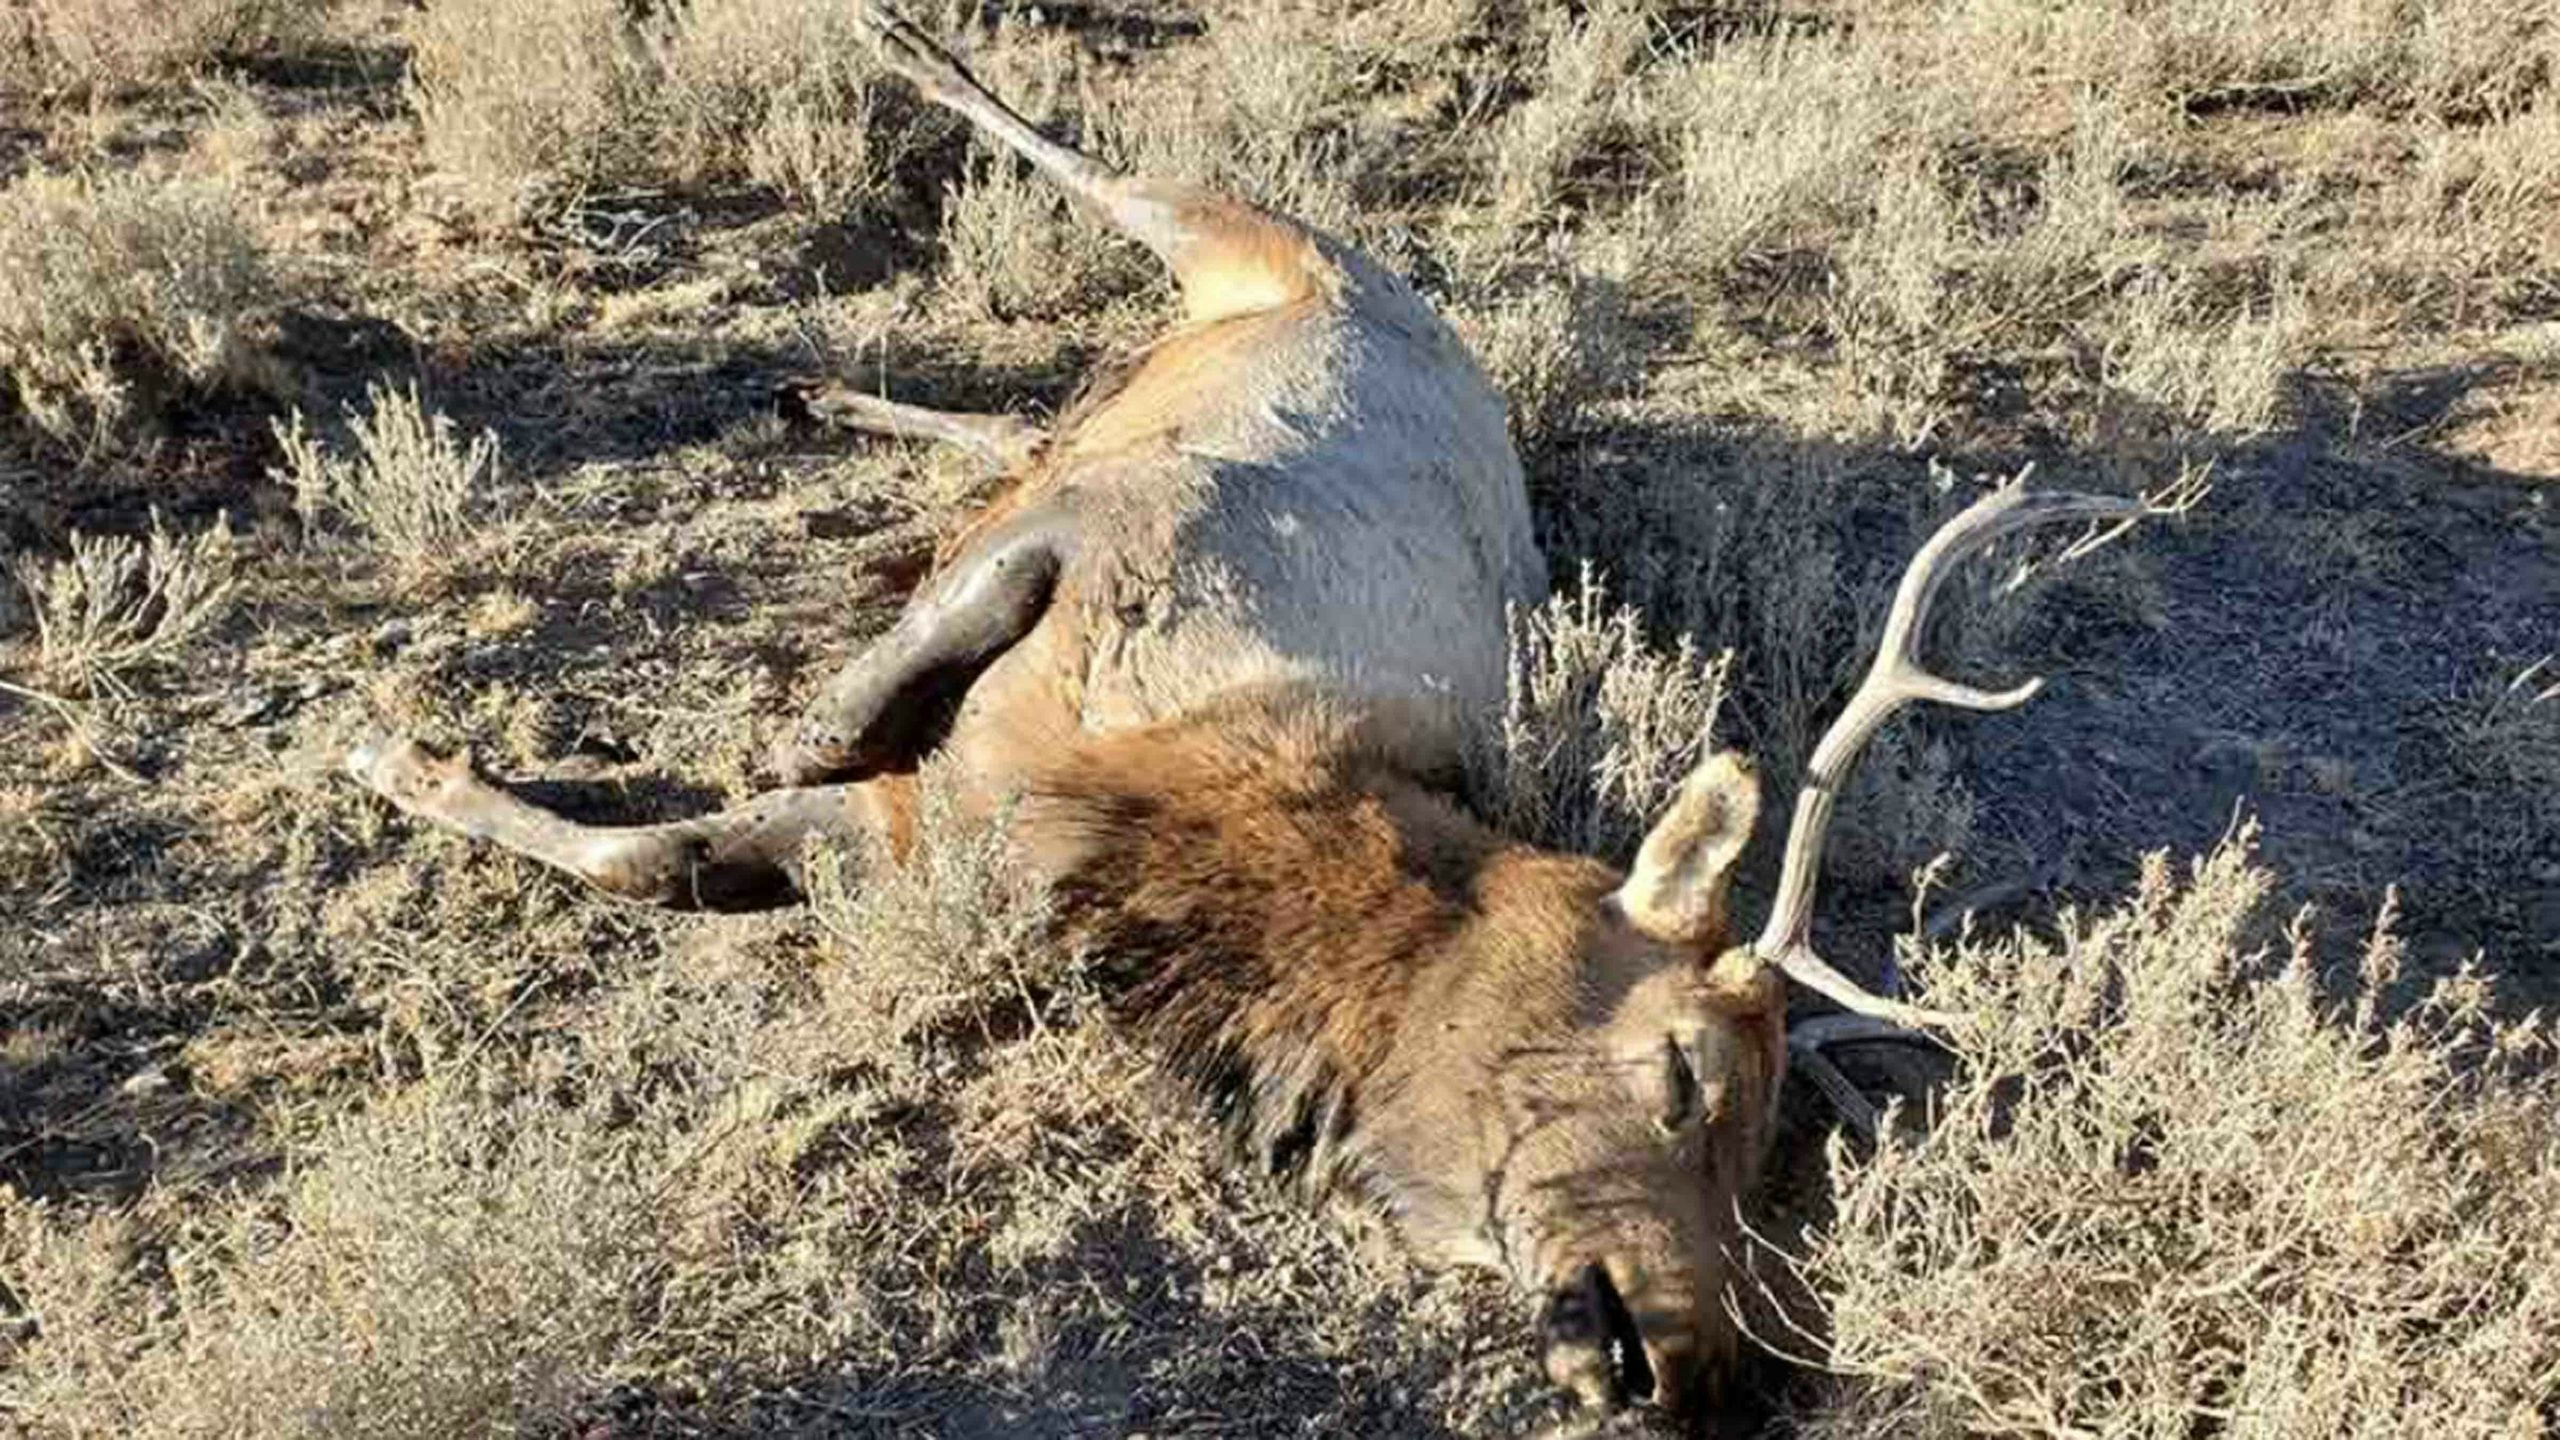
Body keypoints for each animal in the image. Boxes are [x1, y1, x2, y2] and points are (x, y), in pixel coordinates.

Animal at [344, 4, 2164, 1420]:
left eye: (1779, 1140)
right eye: (1685, 1078)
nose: (1698, 1367)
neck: (1199, 821)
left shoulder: (929, 831)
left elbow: (663, 859)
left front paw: (430, 756)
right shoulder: (1118, 541)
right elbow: (835, 714)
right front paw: (410, 742)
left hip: (1150, 357)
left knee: (1012, 416)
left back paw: (821, 389)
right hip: (1254, 244)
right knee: (1093, 179)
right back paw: (892, 46)